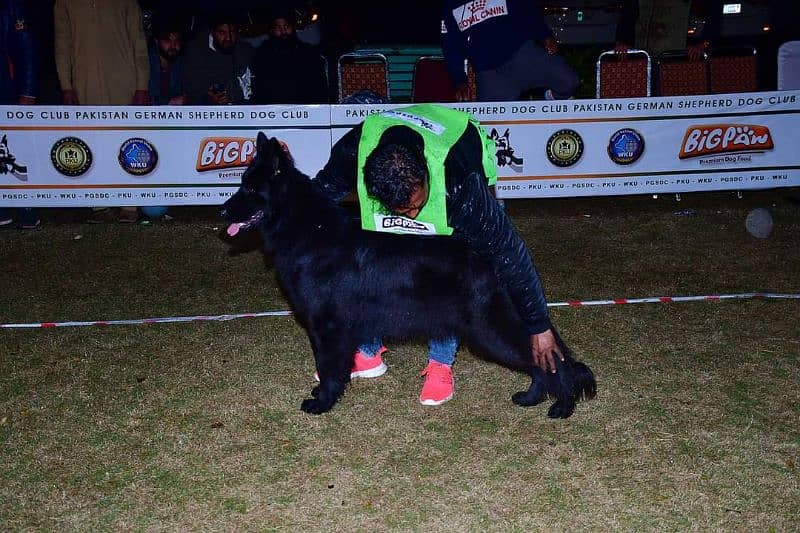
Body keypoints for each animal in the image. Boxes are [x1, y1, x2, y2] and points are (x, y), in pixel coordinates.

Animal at [219, 132, 592, 416]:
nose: (222, 212)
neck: (307, 230)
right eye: (241, 185)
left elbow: (328, 368)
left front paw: (322, 402)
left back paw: (562, 405)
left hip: (488, 329)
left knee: (545, 357)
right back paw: (533, 397)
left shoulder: (326, 326)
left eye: (250, 191)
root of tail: (490, 258)